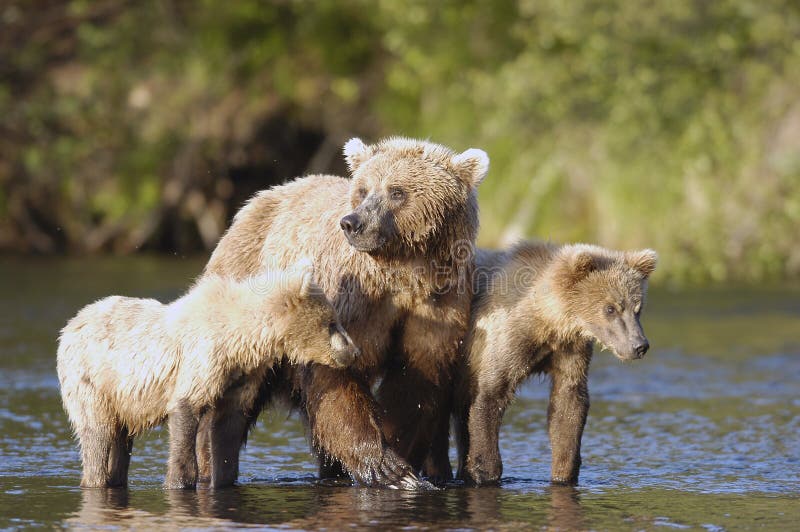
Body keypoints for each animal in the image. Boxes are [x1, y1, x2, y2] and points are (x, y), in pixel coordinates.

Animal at [198, 136, 490, 486]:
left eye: (397, 191)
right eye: (363, 190)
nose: (353, 223)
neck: (404, 273)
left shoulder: (438, 304)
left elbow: (416, 379)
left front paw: (400, 459)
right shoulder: (353, 300)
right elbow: (334, 374)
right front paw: (386, 466)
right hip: (249, 287)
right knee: (235, 397)